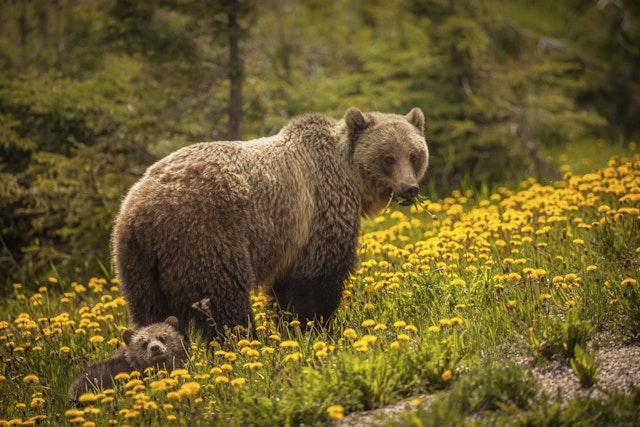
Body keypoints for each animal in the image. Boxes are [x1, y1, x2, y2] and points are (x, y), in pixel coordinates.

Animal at [112, 108, 428, 342]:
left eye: (414, 154)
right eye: (388, 157)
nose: (409, 189)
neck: (349, 176)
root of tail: (140, 212)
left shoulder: (292, 239)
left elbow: (285, 289)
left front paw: (290, 326)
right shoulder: (320, 211)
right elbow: (320, 277)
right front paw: (318, 327)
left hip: (139, 265)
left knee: (151, 313)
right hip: (204, 238)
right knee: (224, 301)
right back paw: (244, 343)